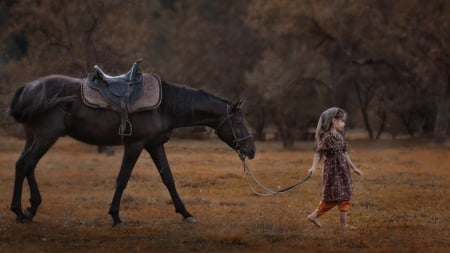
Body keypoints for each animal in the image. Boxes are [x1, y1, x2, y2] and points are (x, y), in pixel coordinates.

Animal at [7, 72, 255, 225]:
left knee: (24, 165)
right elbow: (122, 179)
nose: (251, 150)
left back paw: (29, 209)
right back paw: (20, 210)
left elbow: (168, 178)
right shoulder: (135, 145)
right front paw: (116, 216)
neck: (164, 106)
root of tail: (29, 88)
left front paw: (185, 213)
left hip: (34, 137)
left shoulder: (155, 145)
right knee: (27, 164)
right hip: (45, 137)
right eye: (239, 122)